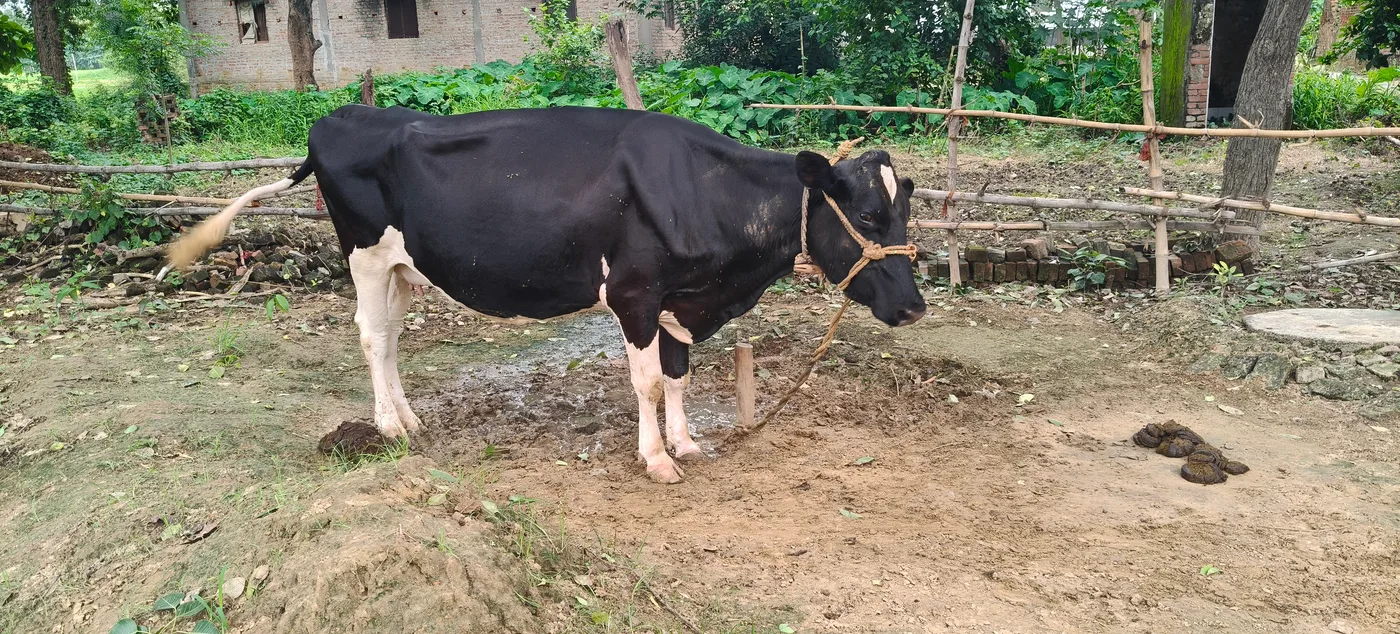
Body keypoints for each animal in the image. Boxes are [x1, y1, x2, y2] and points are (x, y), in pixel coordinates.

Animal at [164, 104, 926, 483]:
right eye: (866, 216)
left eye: (905, 212)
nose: (916, 306)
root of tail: (340, 115)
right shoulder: (635, 293)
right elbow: (649, 382)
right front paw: (655, 459)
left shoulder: (682, 299)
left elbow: (680, 375)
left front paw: (686, 445)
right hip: (366, 254)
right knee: (373, 336)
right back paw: (388, 429)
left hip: (407, 265)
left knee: (394, 340)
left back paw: (412, 419)